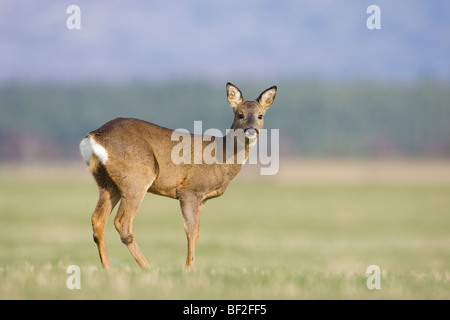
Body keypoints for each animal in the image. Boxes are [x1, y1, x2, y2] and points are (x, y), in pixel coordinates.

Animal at [80, 83, 278, 270]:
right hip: (137, 177)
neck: (221, 157)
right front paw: (189, 268)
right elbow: (190, 230)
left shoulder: (202, 199)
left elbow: (197, 232)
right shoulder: (189, 191)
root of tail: (94, 136)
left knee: (98, 220)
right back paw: (147, 267)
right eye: (240, 114)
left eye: (260, 115)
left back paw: (108, 268)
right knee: (122, 222)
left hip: (107, 183)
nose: (251, 131)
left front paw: (192, 266)